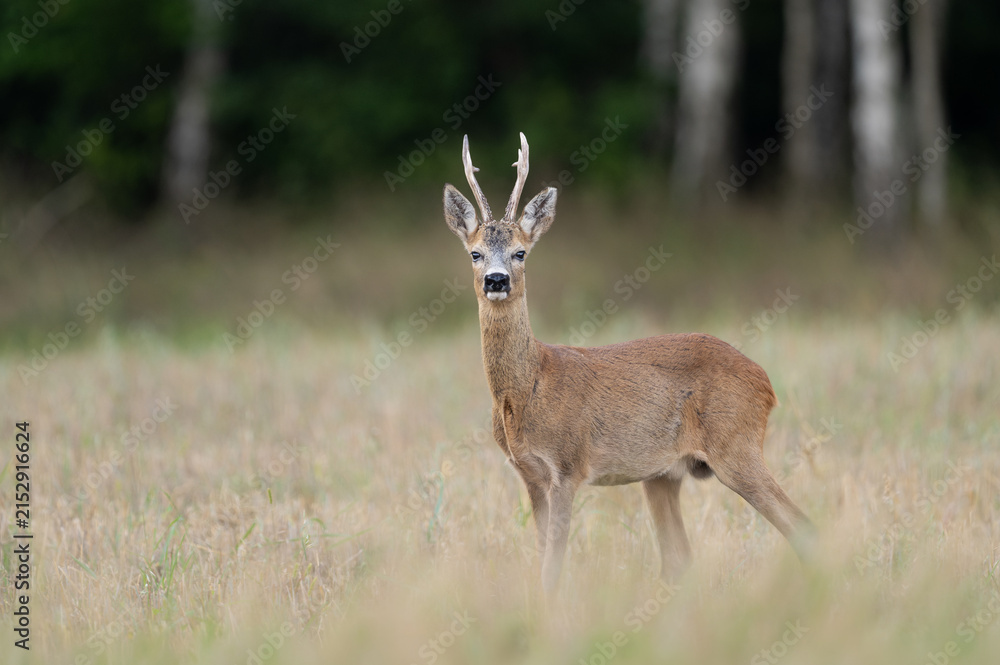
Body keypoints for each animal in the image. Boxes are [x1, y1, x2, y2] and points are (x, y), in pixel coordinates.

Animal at [442, 133, 814, 597]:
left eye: (521, 252)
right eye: (475, 254)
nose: (497, 280)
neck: (527, 389)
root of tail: (766, 384)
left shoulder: (568, 465)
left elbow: (554, 565)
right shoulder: (528, 473)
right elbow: (542, 555)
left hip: (737, 445)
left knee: (802, 525)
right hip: (664, 474)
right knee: (680, 557)